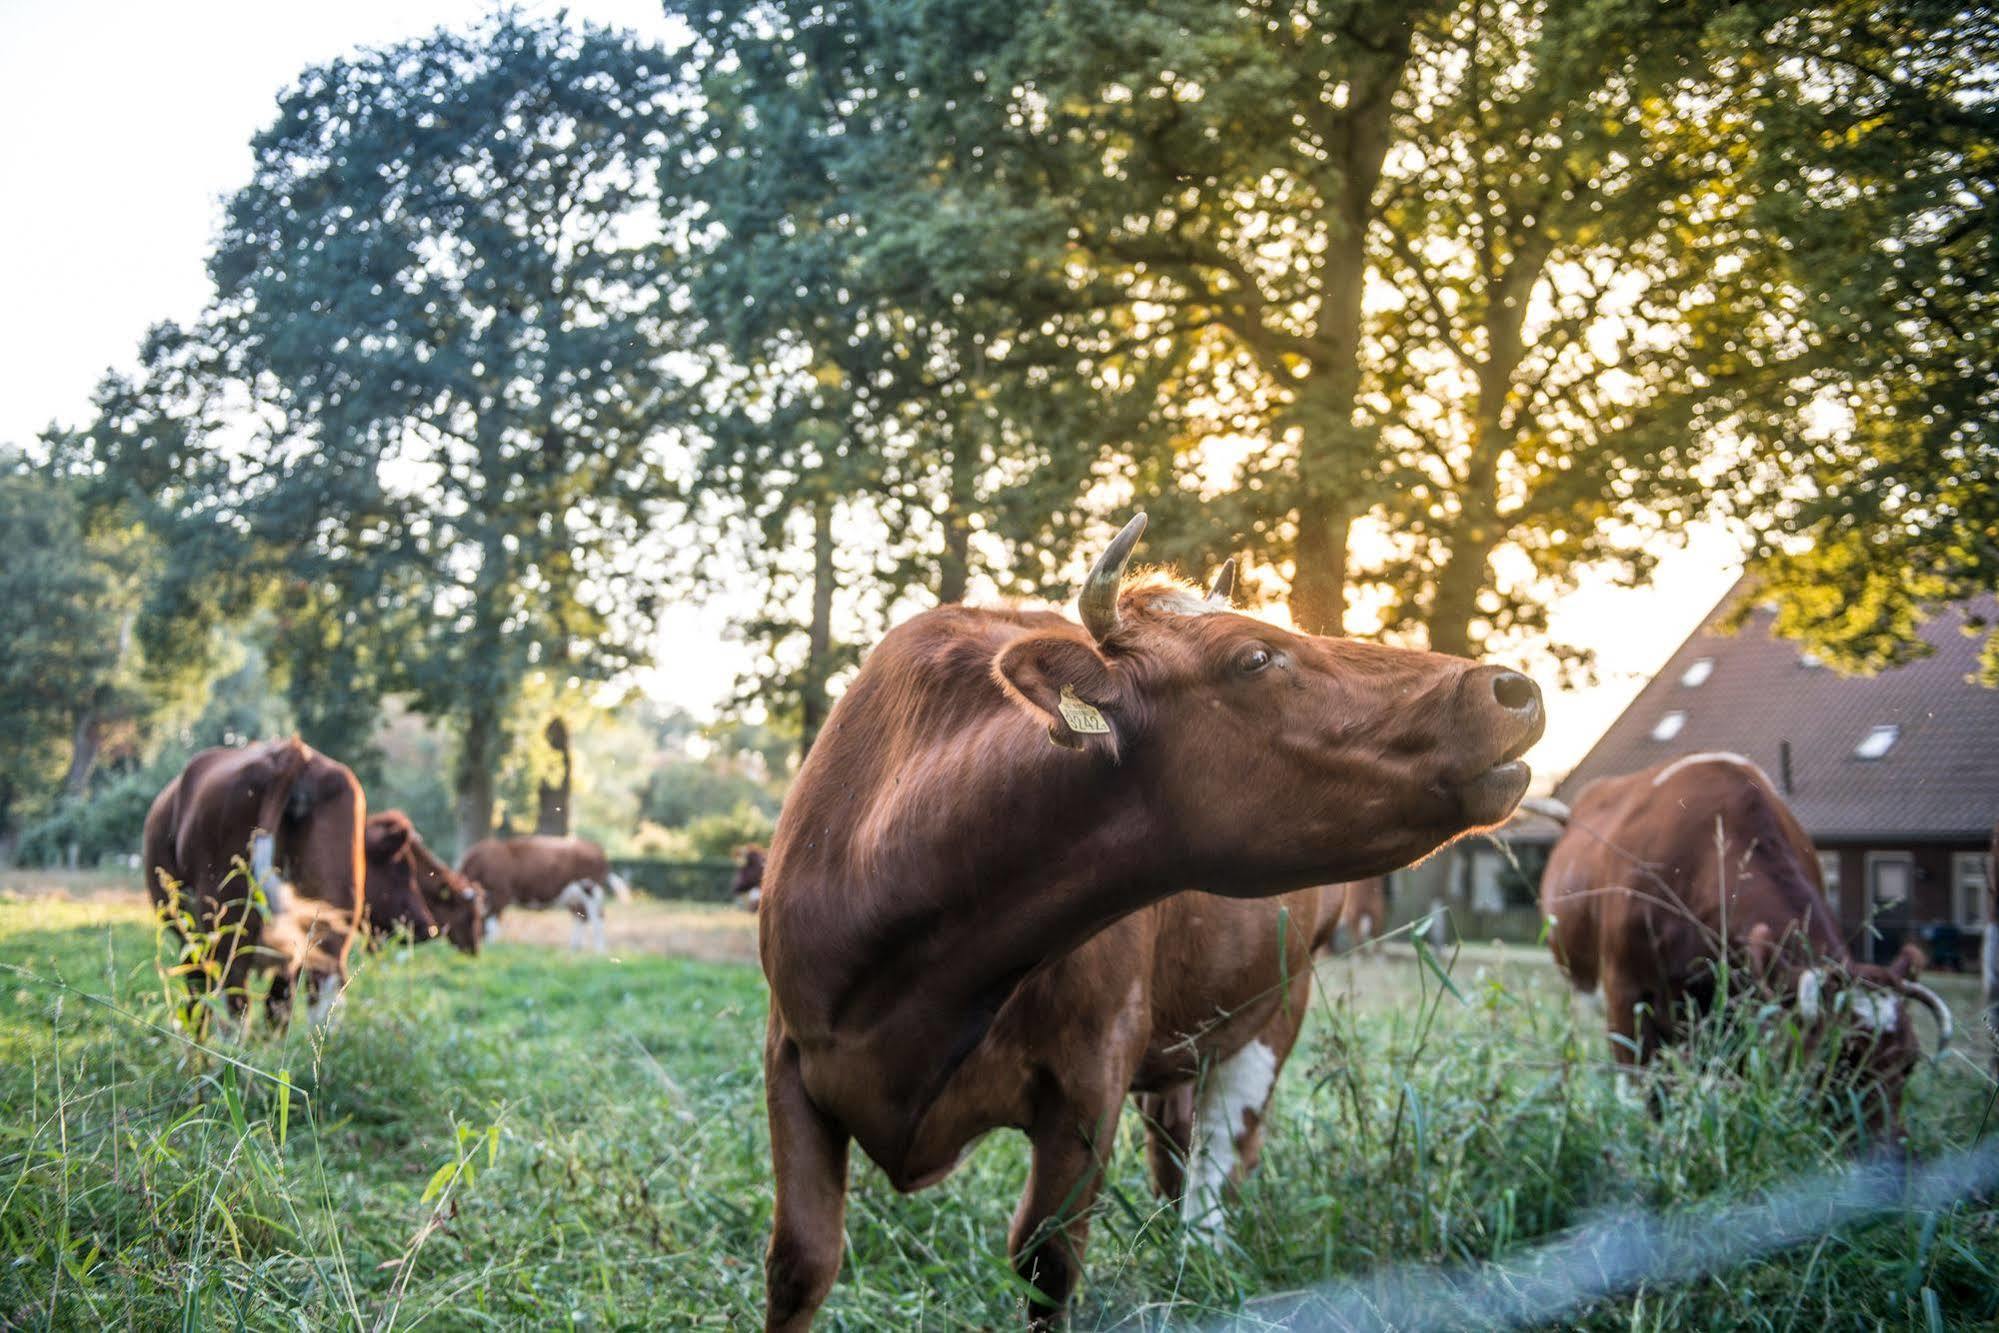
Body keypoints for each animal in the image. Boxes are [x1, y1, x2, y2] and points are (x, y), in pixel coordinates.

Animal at [457, 835, 627, 947]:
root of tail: (595, 847)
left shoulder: (500, 895)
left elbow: (492, 923)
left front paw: (492, 947)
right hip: (574, 896)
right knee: (580, 917)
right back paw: (574, 949)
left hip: (591, 889)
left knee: (597, 918)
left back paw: (600, 951)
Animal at [751, 515, 1543, 1327]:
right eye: (1254, 657)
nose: (1510, 686)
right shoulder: (790, 1055)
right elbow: (800, 1262)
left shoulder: (1090, 1075)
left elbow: (1045, 1262)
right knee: (1174, 1148)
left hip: (1275, 1008)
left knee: (1215, 1170)